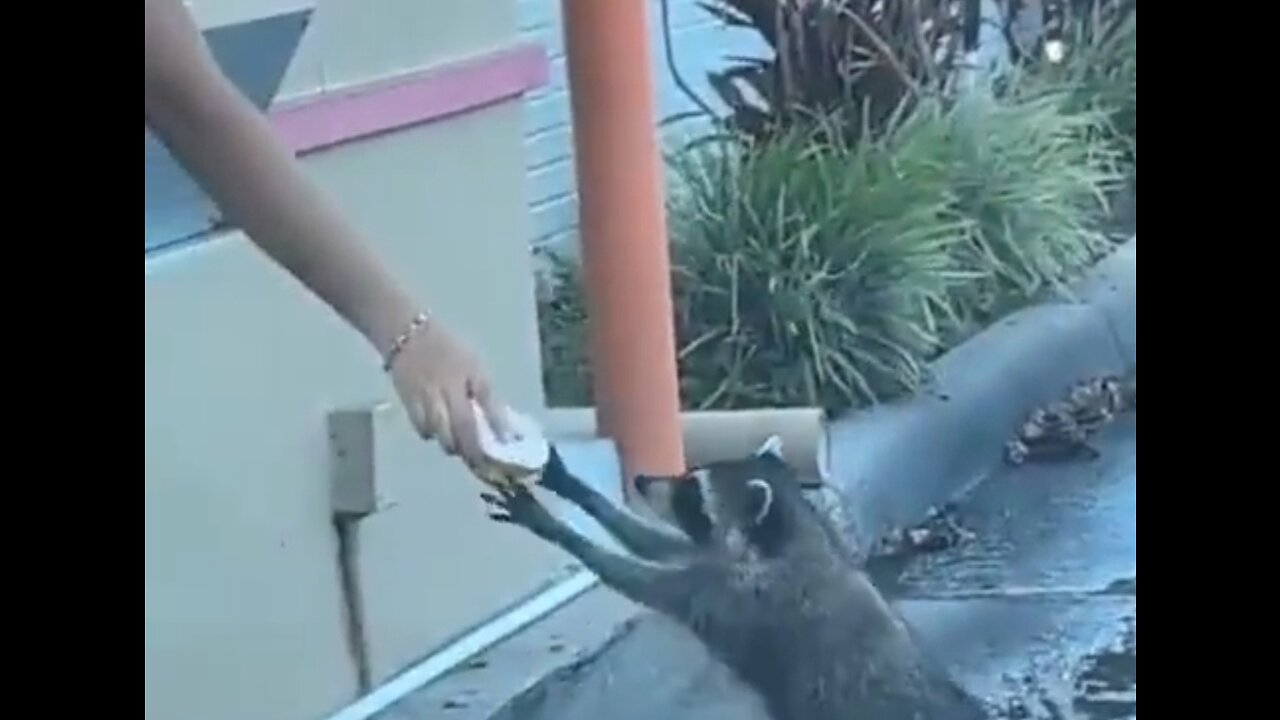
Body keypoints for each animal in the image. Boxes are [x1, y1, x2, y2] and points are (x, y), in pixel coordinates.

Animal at [483, 430, 983, 717]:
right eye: (690, 474)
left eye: (692, 493)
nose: (642, 480)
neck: (793, 536)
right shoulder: (719, 561)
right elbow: (663, 545)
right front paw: (572, 485)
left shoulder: (740, 597)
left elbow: (646, 580)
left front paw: (557, 528)